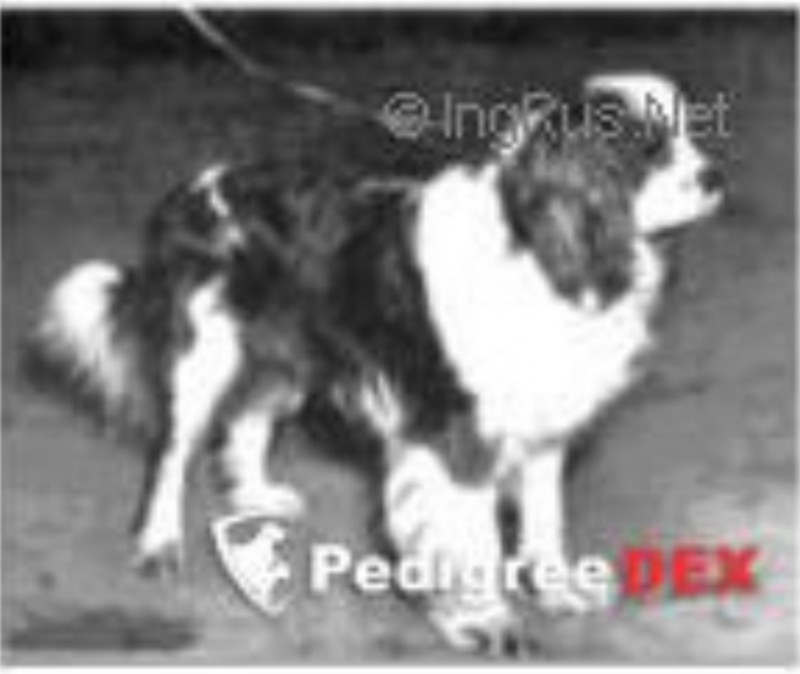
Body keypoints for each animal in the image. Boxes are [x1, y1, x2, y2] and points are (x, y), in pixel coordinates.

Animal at [29, 72, 722, 654]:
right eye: (649, 149)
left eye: (690, 132)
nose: (714, 176)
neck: (538, 248)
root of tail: (194, 189)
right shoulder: (455, 434)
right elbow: (471, 537)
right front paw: (485, 622)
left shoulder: (543, 424)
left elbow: (545, 522)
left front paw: (557, 591)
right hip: (202, 357)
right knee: (172, 454)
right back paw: (158, 544)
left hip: (286, 355)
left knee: (249, 419)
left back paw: (256, 497)